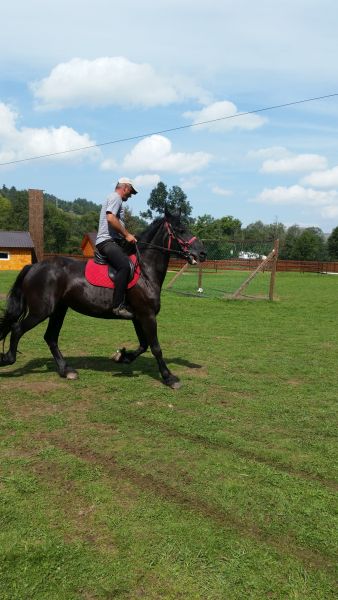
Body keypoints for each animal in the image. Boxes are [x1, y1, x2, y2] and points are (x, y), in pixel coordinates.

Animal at [0, 211, 206, 390]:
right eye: (180, 230)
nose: (202, 253)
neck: (145, 271)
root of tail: (33, 267)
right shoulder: (147, 315)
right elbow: (155, 347)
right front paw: (169, 377)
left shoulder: (138, 316)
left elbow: (143, 344)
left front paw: (122, 357)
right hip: (41, 311)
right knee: (17, 329)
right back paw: (8, 359)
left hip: (59, 310)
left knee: (50, 337)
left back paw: (66, 370)